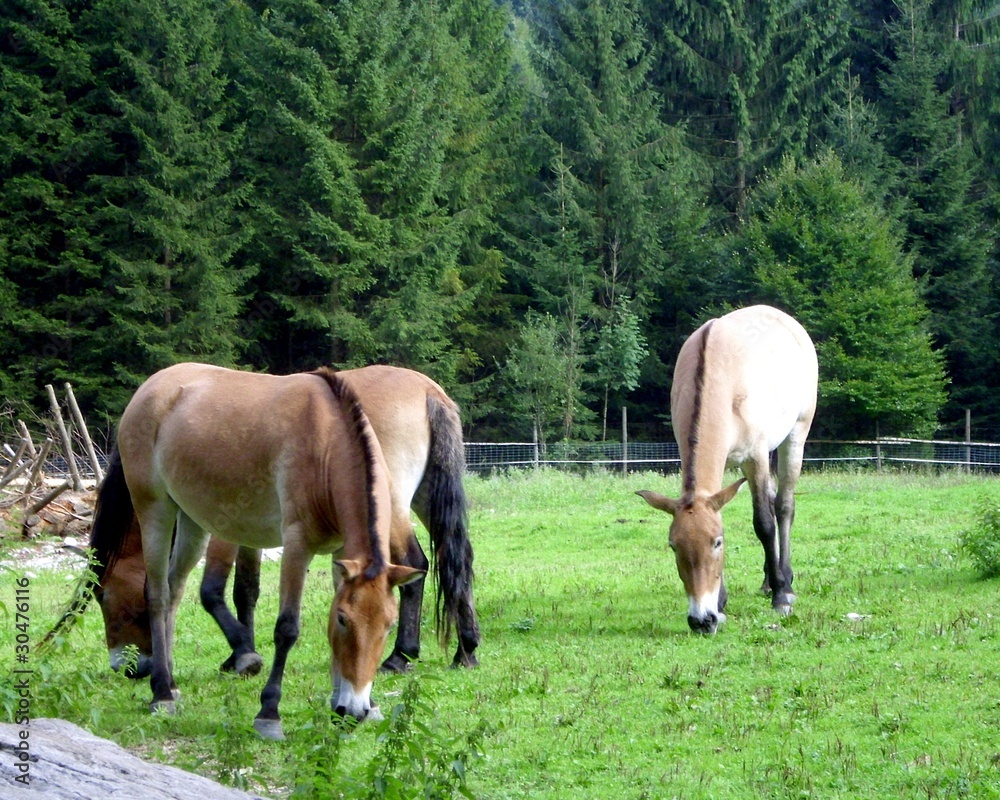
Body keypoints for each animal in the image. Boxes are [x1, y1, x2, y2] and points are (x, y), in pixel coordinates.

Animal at [46, 366, 480, 683]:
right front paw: (238, 653)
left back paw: (401, 655)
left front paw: (243, 652)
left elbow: (212, 591)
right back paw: (466, 649)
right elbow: (246, 591)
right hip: (425, 501)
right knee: (454, 560)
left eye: (105, 599)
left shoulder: (222, 528)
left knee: (417, 565)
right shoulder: (251, 532)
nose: (130, 669)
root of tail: (426, 391)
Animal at [77, 363, 423, 739]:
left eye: (388, 625)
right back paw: (161, 694)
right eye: (346, 620)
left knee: (174, 591)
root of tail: (151, 387)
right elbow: (287, 629)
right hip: (155, 510)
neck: (327, 444)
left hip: (192, 521)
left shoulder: (342, 553)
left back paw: (170, 683)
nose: (355, 709)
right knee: (157, 596)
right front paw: (269, 713)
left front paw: (355, 704)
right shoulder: (297, 545)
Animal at [637, 305, 817, 634]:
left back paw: (783, 583)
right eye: (673, 545)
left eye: (717, 543)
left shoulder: (755, 458)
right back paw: (768, 581)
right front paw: (720, 604)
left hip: (796, 433)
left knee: (783, 506)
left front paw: (781, 598)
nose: (701, 620)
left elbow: (764, 524)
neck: (720, 382)